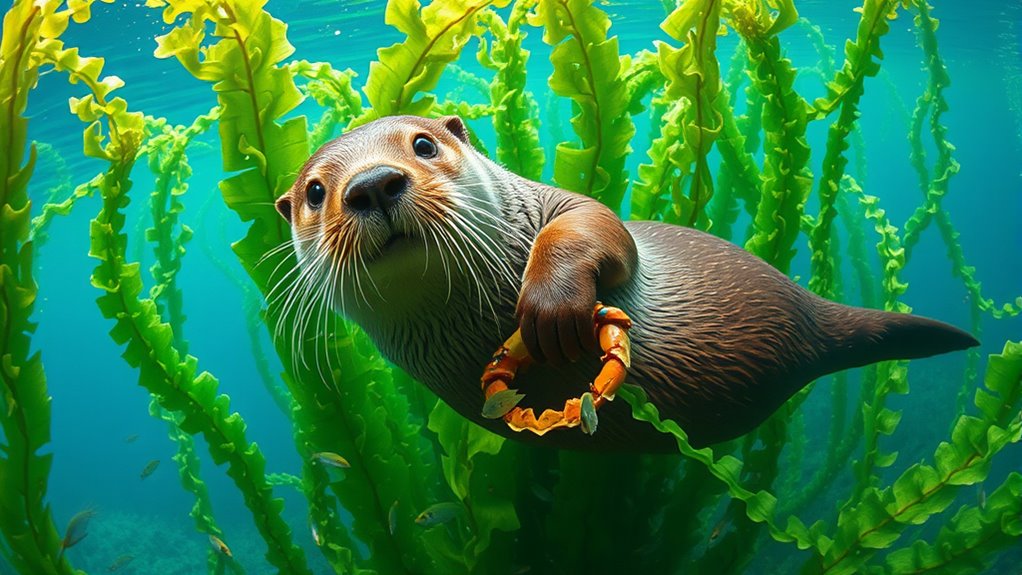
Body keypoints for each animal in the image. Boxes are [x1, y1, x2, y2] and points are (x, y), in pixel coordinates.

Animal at [273, 115, 978, 451]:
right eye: (315, 192)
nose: (372, 184)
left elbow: (593, 226)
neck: (468, 321)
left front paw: (552, 308)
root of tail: (811, 316)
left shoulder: (564, 208)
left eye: (422, 145)